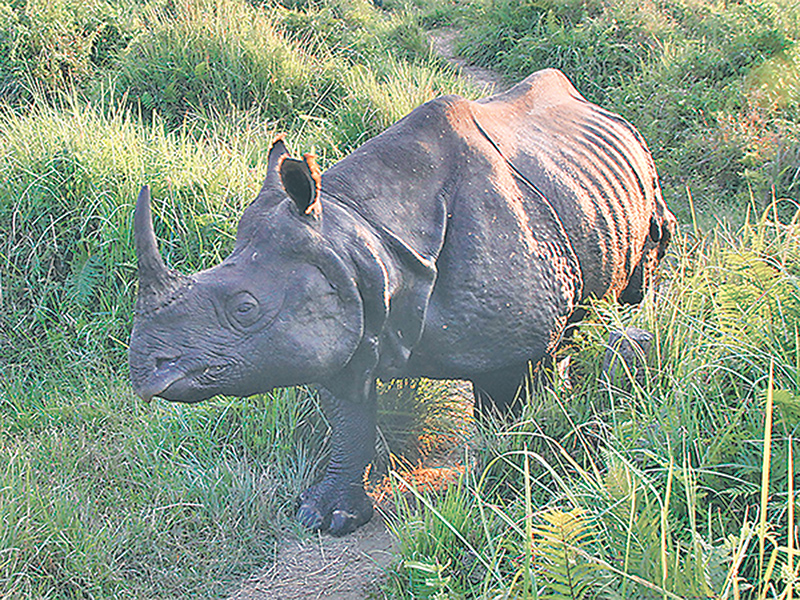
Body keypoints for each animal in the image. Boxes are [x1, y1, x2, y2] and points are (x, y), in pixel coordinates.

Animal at [129, 69, 676, 535]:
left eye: (245, 308)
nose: (144, 372)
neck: (359, 235)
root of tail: (600, 109)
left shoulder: (507, 340)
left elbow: (507, 410)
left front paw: (500, 487)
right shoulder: (344, 312)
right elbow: (349, 420)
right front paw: (328, 516)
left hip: (642, 179)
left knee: (637, 279)